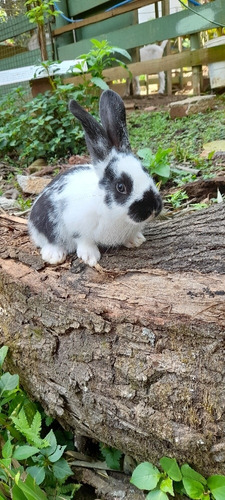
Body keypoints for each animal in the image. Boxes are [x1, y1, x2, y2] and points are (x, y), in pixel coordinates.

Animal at [27, 88, 162, 268]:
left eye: (146, 171)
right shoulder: (76, 225)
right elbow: (84, 240)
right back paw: (54, 255)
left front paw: (136, 240)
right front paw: (89, 257)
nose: (153, 208)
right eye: (121, 187)